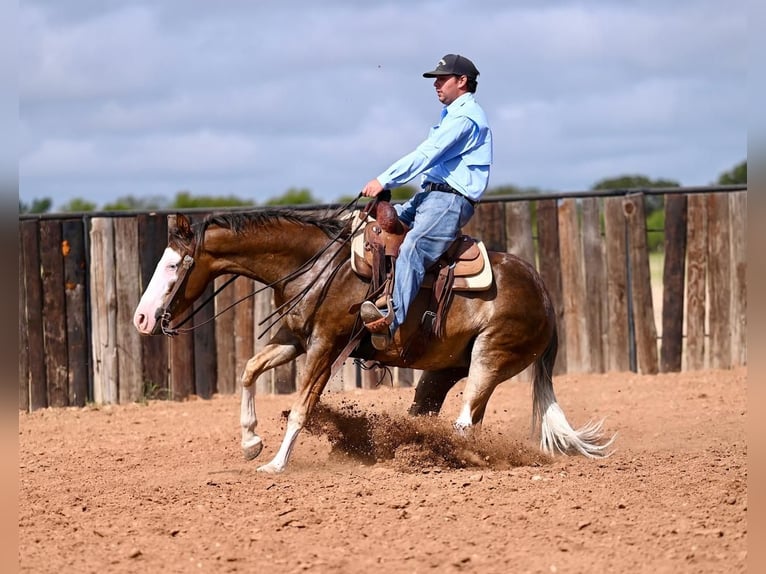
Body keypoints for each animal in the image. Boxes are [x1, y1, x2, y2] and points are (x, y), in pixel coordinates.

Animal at [130, 209, 612, 474]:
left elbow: (301, 407)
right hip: (443, 370)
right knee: (445, 414)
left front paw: (276, 464)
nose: (142, 318)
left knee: (465, 420)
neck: (316, 265)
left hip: (490, 358)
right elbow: (249, 370)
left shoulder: (325, 345)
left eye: (173, 265)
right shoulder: (295, 338)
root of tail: (544, 292)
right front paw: (251, 443)